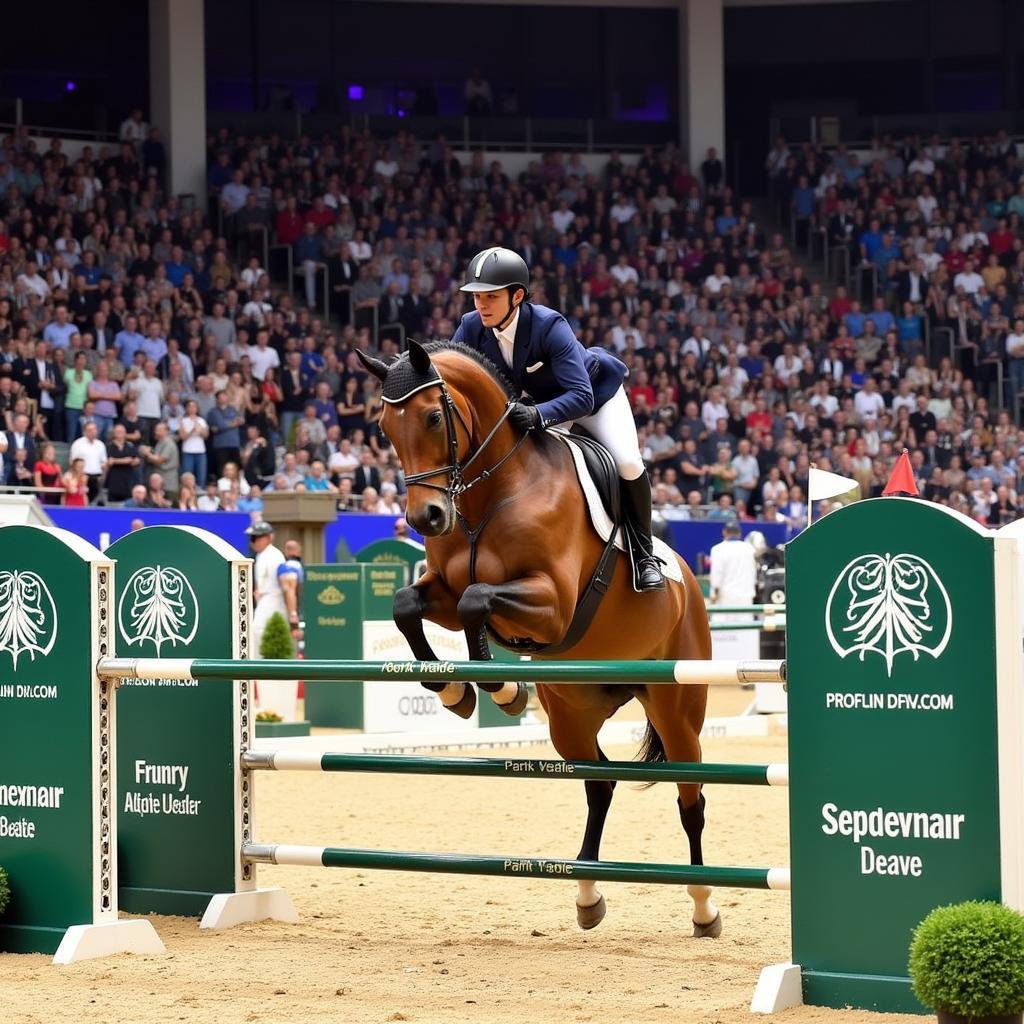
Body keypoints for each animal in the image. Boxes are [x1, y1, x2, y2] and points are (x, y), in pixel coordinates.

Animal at [360, 337, 720, 937]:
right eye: (385, 428)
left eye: (433, 417)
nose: (427, 518)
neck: (493, 494)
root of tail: (690, 583)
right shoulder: (444, 593)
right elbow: (411, 605)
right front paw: (457, 692)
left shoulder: (552, 605)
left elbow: (477, 599)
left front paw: (501, 689)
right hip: (572, 715)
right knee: (599, 785)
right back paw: (587, 895)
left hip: (677, 710)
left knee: (690, 799)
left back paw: (704, 907)